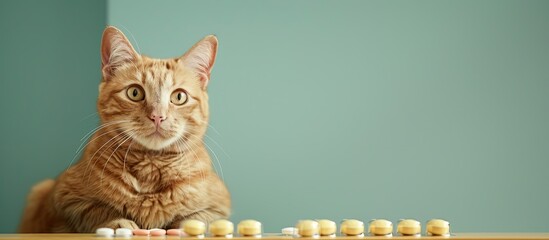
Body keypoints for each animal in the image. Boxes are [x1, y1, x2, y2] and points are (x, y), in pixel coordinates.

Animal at [18, 26, 229, 232]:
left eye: (179, 97)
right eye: (135, 93)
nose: (157, 116)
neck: (150, 166)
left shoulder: (219, 205)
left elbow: (199, 218)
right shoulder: (63, 198)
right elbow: (97, 210)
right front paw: (118, 223)